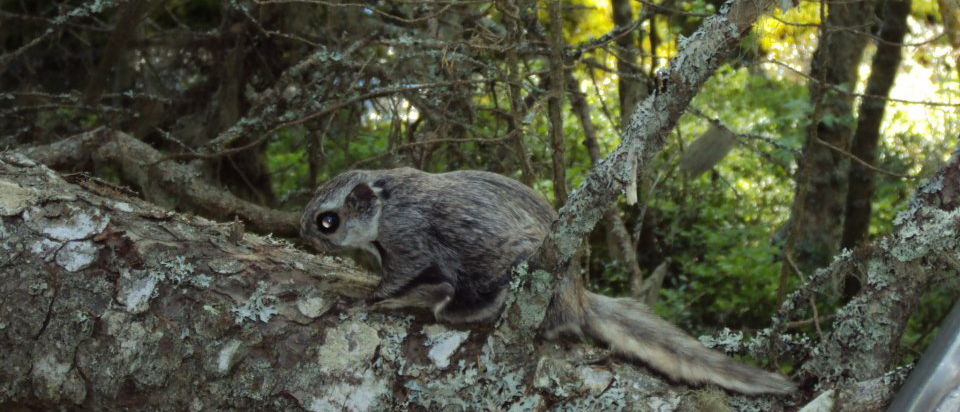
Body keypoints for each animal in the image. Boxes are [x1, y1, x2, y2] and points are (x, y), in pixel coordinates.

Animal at [304, 167, 800, 396]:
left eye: (327, 220)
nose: (303, 232)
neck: (386, 199)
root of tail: (578, 297)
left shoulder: (409, 243)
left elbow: (393, 283)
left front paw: (367, 301)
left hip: (510, 264)